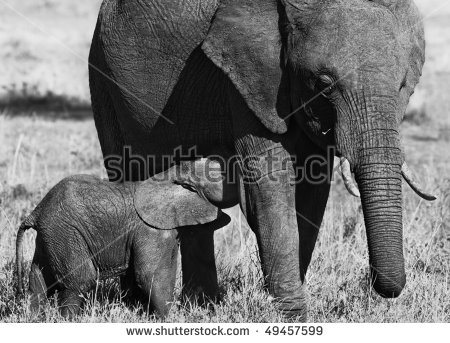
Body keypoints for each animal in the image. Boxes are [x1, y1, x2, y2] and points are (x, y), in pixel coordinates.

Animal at [15, 160, 234, 318]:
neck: (170, 174)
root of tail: (36, 212)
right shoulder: (149, 229)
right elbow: (151, 274)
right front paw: (170, 319)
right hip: (66, 232)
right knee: (80, 281)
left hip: (50, 237)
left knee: (37, 282)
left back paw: (32, 318)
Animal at [89, 0, 436, 320]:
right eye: (323, 85)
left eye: (403, 85)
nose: (380, 288)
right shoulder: (247, 83)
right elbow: (271, 187)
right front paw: (291, 316)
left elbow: (311, 193)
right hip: (104, 78)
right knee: (129, 174)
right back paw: (137, 305)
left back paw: (201, 306)